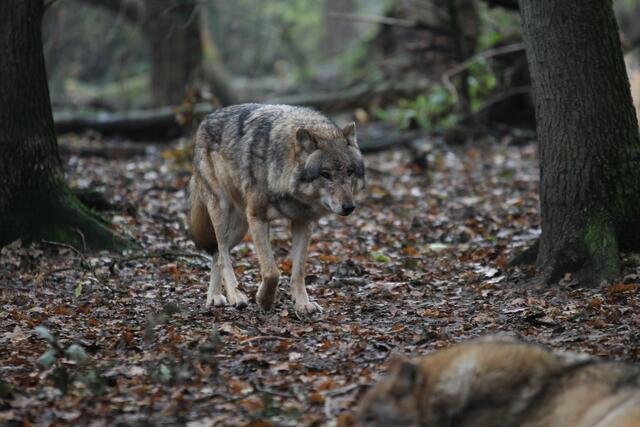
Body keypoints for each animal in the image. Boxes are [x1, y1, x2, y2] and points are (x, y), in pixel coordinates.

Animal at [186, 104, 364, 314]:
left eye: (350, 172)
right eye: (325, 174)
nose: (349, 207)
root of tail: (206, 119)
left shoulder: (303, 222)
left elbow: (299, 271)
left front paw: (302, 304)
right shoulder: (258, 218)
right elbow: (272, 271)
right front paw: (264, 300)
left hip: (239, 229)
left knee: (216, 254)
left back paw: (214, 298)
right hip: (223, 213)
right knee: (222, 256)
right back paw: (235, 296)